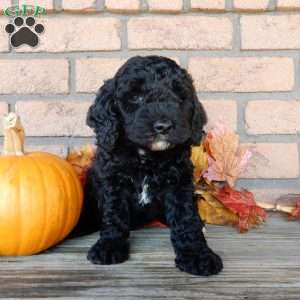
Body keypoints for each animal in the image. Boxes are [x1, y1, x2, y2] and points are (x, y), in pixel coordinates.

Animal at [81, 55, 223, 276]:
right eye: (136, 97)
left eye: (179, 97)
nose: (163, 126)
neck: (146, 156)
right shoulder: (113, 181)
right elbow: (114, 214)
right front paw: (109, 246)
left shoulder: (179, 182)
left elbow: (185, 218)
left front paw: (197, 255)